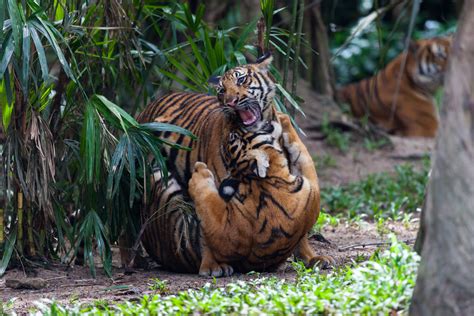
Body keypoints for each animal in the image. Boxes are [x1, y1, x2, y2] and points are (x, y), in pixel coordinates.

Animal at [128, 54, 332, 276]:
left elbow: (302, 233)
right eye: (221, 90)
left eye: (241, 80)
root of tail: (147, 107)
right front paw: (211, 266)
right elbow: (208, 231)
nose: (231, 102)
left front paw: (311, 258)